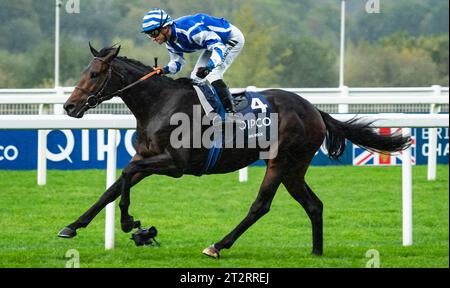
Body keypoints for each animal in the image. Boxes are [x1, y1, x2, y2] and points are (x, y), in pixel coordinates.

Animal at [58, 44, 410, 258]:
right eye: (84, 73)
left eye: (94, 74)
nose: (69, 106)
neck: (160, 104)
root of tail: (314, 110)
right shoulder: (146, 157)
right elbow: (113, 188)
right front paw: (72, 226)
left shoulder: (175, 165)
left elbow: (126, 175)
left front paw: (132, 224)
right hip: (295, 168)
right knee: (314, 204)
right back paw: (316, 252)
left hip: (279, 161)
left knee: (261, 205)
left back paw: (218, 245)